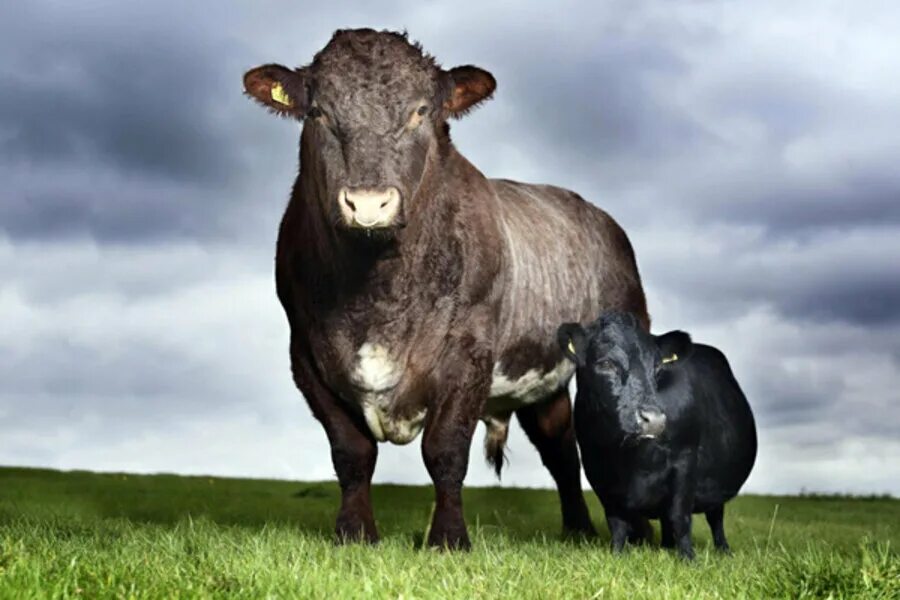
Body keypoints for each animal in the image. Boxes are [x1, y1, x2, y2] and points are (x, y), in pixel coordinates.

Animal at [243, 28, 649, 549]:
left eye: (421, 111)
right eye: (318, 113)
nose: (368, 203)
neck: (375, 289)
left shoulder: (468, 355)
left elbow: (445, 450)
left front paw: (449, 539)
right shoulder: (308, 357)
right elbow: (352, 453)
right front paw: (354, 533)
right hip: (545, 379)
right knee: (559, 447)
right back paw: (577, 529)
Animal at [557, 311, 757, 559]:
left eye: (657, 368)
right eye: (605, 363)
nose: (653, 420)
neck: (629, 457)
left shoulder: (686, 461)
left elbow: (680, 517)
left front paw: (688, 558)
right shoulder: (597, 469)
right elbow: (617, 521)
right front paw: (617, 555)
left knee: (715, 516)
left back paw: (723, 551)